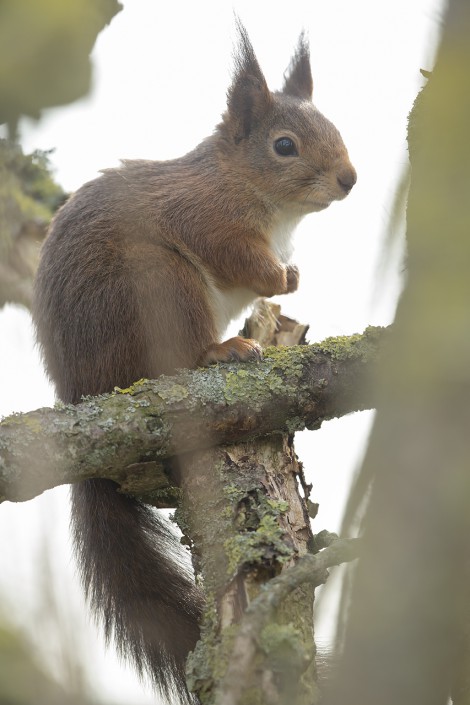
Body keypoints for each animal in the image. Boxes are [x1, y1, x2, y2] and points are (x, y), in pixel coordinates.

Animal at [33, 22, 356, 704]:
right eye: (284, 146)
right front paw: (279, 276)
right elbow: (235, 255)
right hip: (161, 287)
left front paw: (289, 276)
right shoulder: (204, 214)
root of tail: (83, 395)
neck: (251, 190)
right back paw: (222, 349)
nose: (349, 178)